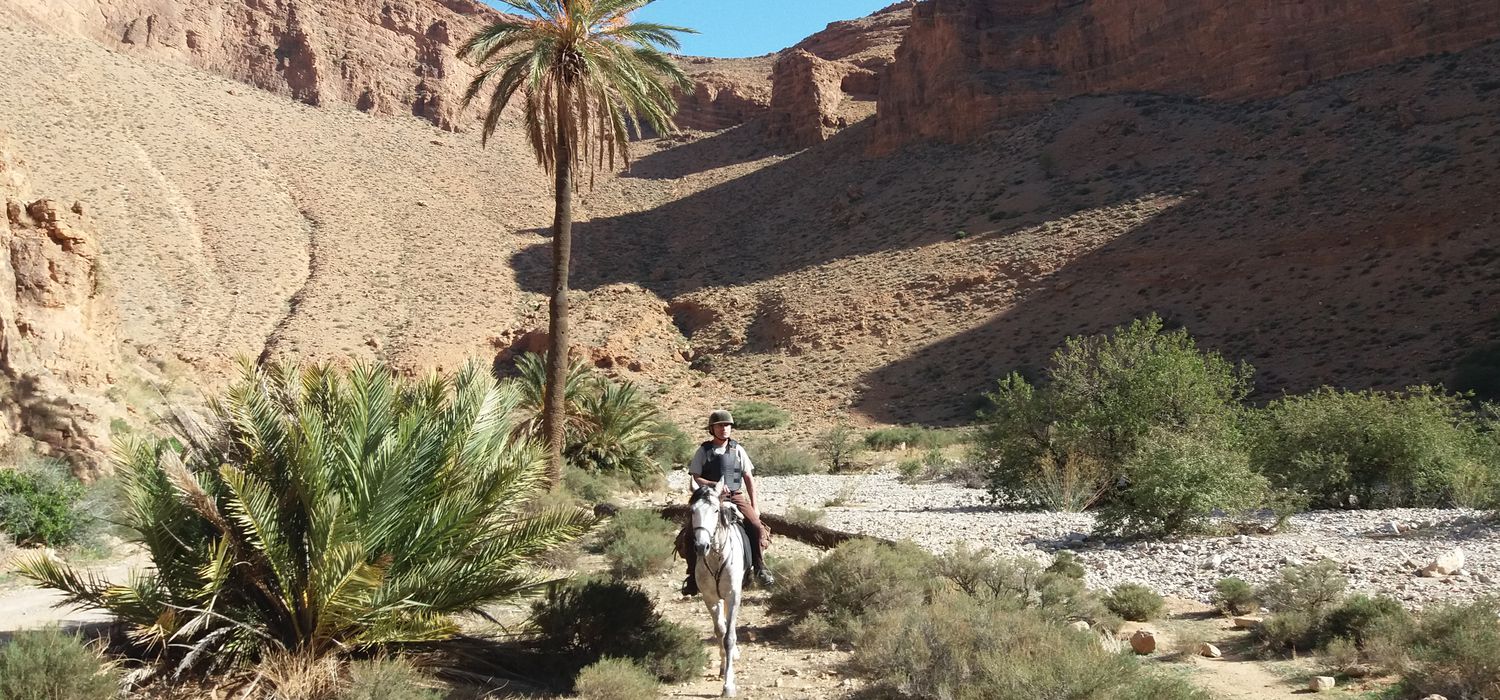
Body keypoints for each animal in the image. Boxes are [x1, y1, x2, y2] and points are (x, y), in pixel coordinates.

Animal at [690, 485, 744, 698]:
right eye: (692, 511)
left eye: (715, 510)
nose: (701, 546)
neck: (716, 557)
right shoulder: (710, 598)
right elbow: (720, 631)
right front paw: (723, 668)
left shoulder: (733, 596)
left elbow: (729, 637)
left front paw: (728, 685)